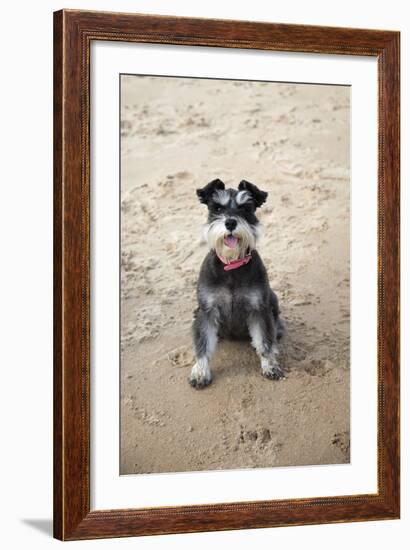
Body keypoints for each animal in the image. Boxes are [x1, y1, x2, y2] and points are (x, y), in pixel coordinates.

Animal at [190, 179, 284, 390]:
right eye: (217, 207)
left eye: (245, 208)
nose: (230, 222)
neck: (232, 265)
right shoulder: (207, 311)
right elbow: (203, 343)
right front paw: (200, 372)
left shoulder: (259, 309)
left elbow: (264, 341)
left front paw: (270, 366)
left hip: (272, 299)